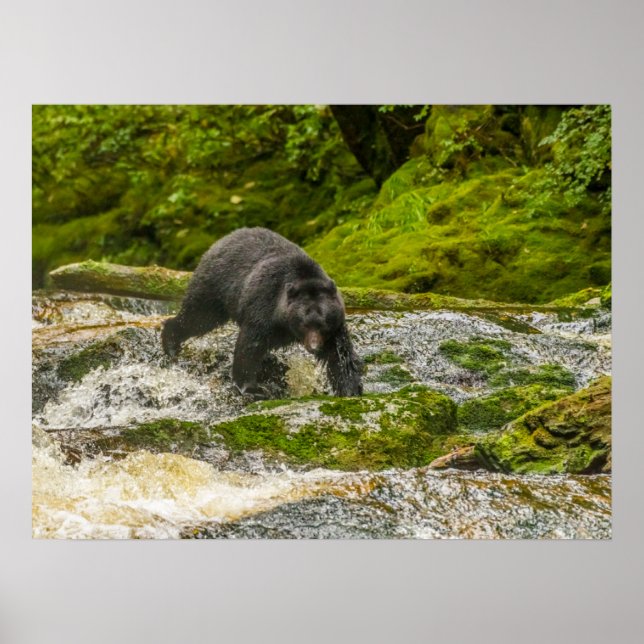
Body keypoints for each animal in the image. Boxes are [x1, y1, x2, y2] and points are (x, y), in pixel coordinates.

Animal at [161, 227, 363, 398]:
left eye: (323, 323)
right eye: (304, 323)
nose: (314, 347)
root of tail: (222, 240)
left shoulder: (335, 327)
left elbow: (340, 355)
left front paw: (350, 390)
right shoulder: (264, 305)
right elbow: (250, 346)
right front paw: (252, 388)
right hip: (215, 286)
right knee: (197, 317)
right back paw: (171, 344)